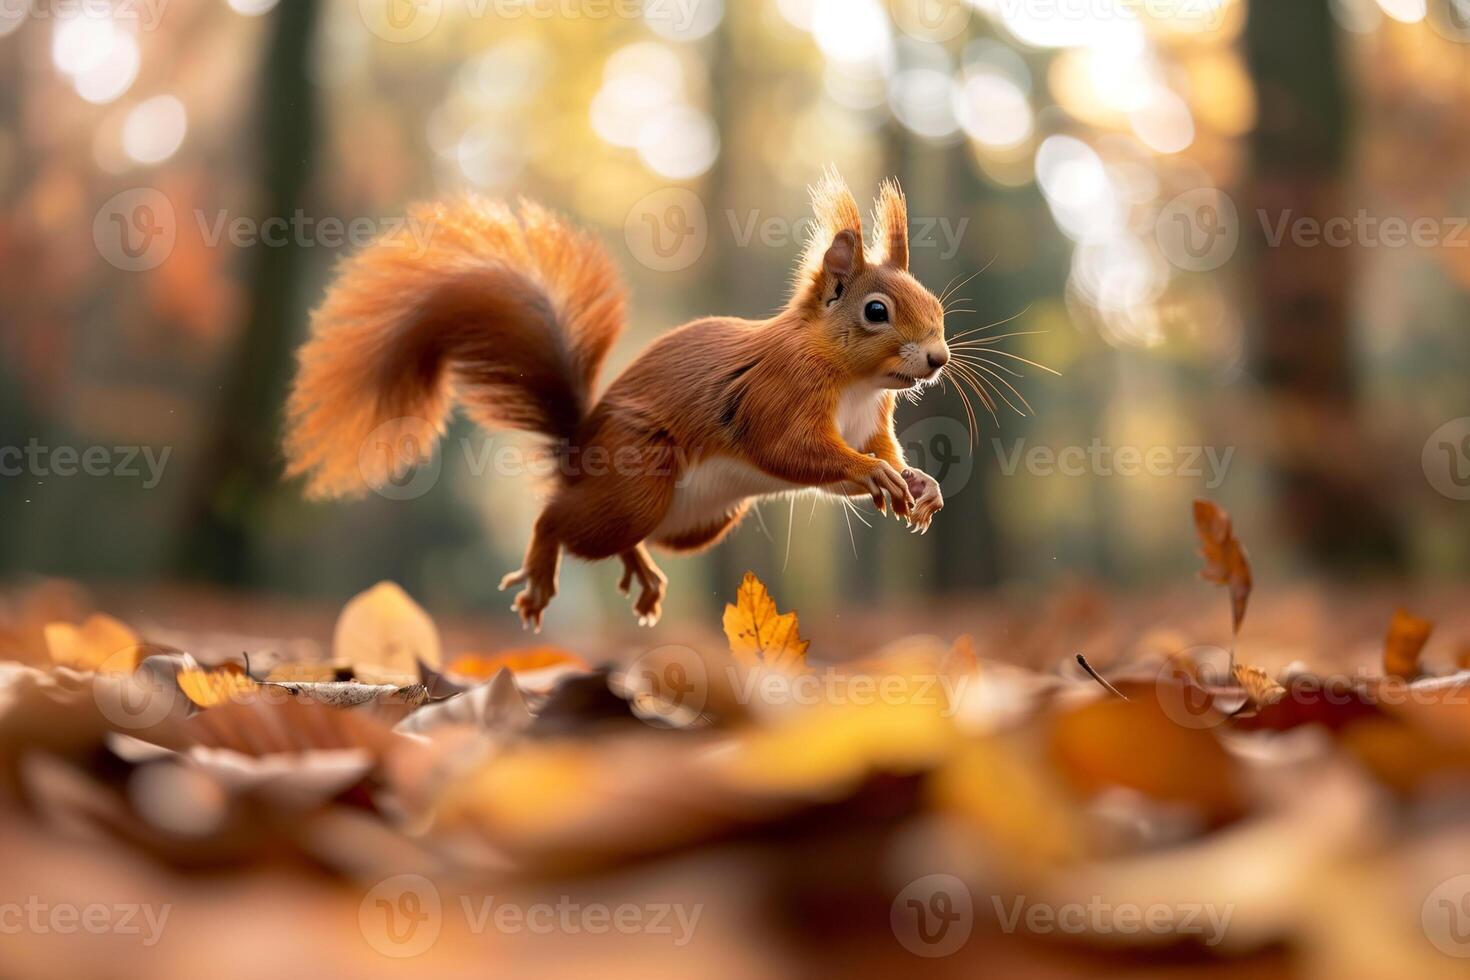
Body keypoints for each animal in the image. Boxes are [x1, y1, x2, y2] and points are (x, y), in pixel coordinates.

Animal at [283, 170, 952, 628]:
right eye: (876, 312)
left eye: (936, 306)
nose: (938, 359)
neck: (857, 383)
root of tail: (576, 454)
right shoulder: (780, 393)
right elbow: (794, 449)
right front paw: (875, 475)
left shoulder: (872, 422)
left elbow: (879, 455)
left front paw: (919, 486)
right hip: (638, 481)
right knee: (558, 518)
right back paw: (541, 572)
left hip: (697, 521)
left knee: (630, 534)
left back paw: (642, 572)